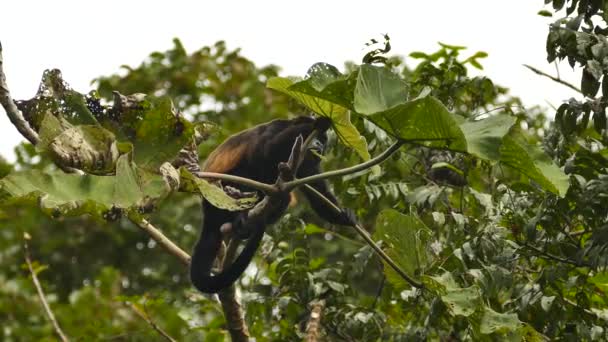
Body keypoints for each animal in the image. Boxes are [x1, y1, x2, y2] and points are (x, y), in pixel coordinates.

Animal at [189, 116, 352, 292]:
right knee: (245, 171)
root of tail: (207, 211)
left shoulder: (305, 165)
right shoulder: (276, 129)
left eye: (323, 141)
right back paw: (242, 217)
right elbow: (266, 149)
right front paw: (317, 122)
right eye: (316, 137)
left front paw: (345, 215)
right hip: (218, 193)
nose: (320, 145)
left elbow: (317, 190)